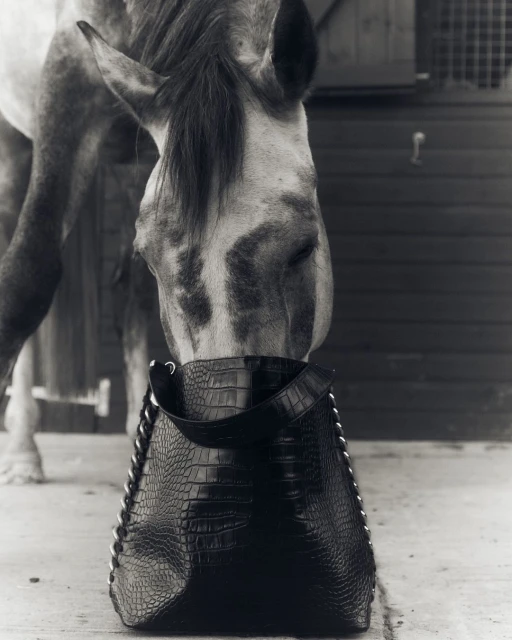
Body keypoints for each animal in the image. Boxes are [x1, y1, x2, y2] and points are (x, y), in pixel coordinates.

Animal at [0, 0, 333, 484]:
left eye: (304, 248)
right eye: (150, 257)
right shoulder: (67, 72)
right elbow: (26, 279)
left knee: (126, 292)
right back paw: (23, 453)